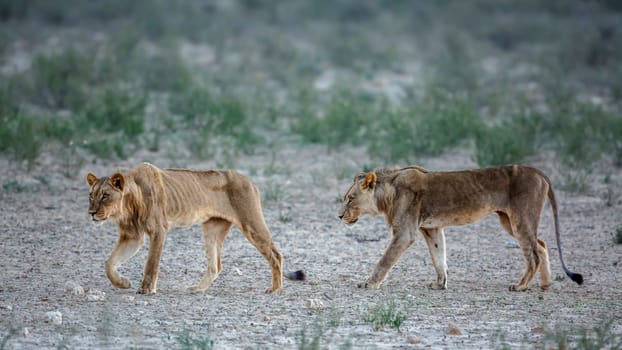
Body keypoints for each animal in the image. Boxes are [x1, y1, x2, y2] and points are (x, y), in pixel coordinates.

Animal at [85, 163, 304, 294]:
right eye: (91, 195)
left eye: (105, 196)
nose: (91, 213)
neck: (128, 205)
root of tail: (249, 181)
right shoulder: (132, 237)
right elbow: (109, 263)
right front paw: (122, 283)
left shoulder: (159, 230)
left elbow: (151, 264)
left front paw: (146, 289)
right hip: (211, 228)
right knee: (216, 266)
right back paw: (197, 289)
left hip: (251, 224)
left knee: (276, 255)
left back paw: (275, 289)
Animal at [338, 165, 584, 292]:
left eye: (350, 199)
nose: (339, 216)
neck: (387, 192)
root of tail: (538, 171)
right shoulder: (432, 229)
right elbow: (439, 257)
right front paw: (440, 284)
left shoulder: (405, 233)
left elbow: (385, 260)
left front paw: (369, 283)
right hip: (509, 220)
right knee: (541, 245)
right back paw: (545, 283)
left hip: (520, 219)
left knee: (533, 254)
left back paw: (521, 286)